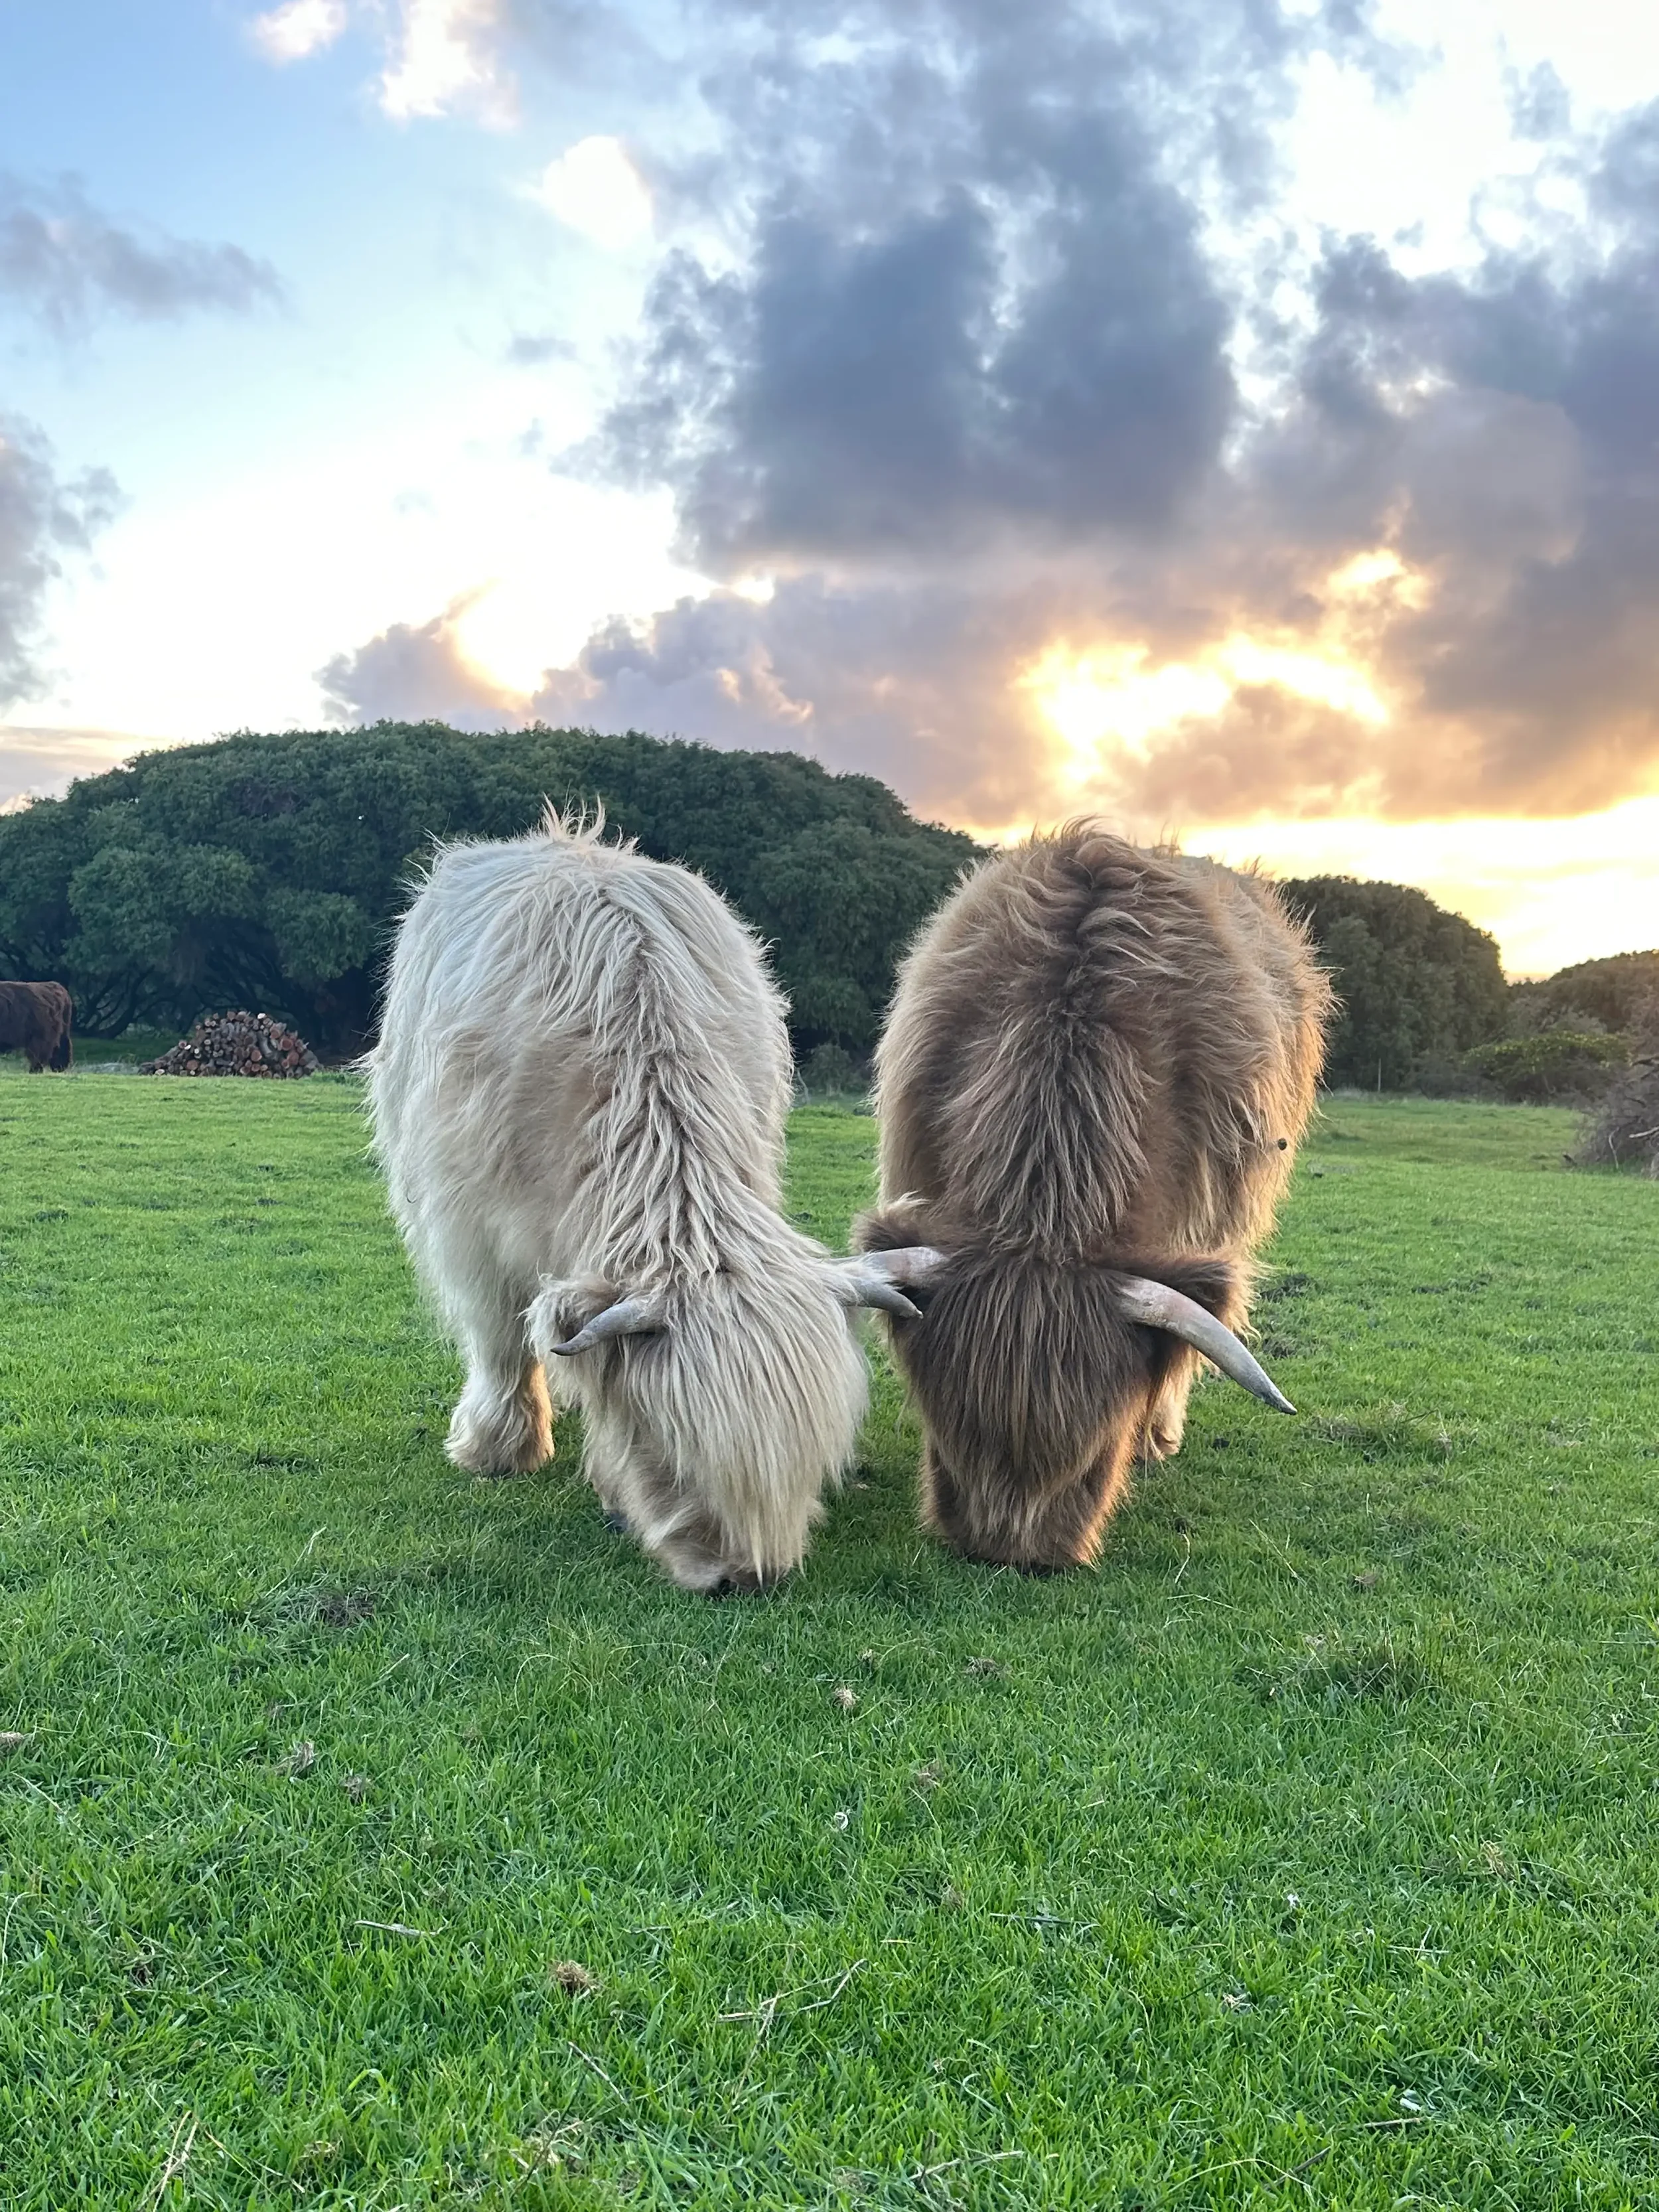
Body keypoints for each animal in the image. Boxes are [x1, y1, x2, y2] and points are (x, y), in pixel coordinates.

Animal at [365, 810, 913, 1594]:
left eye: (810, 1465)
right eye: (670, 1451)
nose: (742, 1577)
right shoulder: (468, 1225)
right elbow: (499, 1335)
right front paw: (497, 1450)